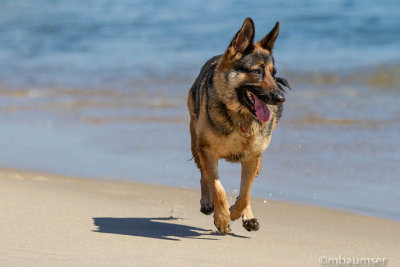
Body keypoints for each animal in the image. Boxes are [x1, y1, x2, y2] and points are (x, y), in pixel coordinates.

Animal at [188, 17, 290, 234]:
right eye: (257, 71)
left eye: (273, 74)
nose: (281, 98)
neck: (240, 116)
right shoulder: (207, 151)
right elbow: (217, 187)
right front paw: (222, 217)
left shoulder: (252, 157)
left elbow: (245, 195)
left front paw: (235, 212)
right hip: (195, 145)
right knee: (204, 176)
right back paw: (207, 202)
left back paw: (247, 217)